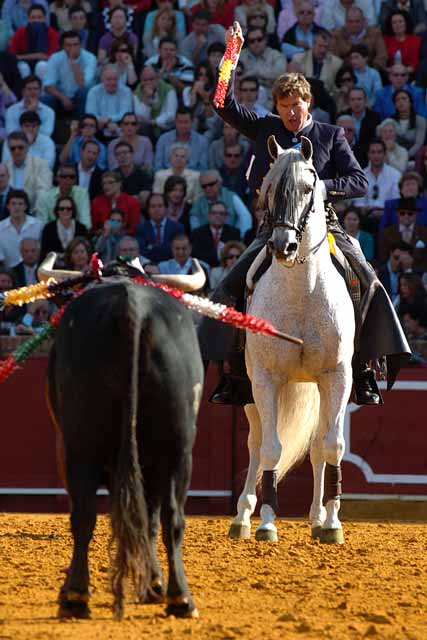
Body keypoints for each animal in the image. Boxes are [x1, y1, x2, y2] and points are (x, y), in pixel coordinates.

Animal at [47, 280, 205, 620]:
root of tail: (131, 305)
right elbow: (150, 518)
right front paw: (154, 583)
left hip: (78, 448)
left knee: (85, 514)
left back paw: (74, 595)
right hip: (177, 450)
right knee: (171, 516)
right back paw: (180, 598)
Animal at [229, 136, 356, 544]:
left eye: (306, 188)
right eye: (267, 189)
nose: (282, 246)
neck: (303, 290)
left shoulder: (338, 376)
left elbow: (332, 445)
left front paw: (332, 523)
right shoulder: (265, 378)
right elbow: (271, 449)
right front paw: (267, 523)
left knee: (317, 448)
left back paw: (317, 518)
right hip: (250, 390)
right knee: (255, 444)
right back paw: (242, 516)